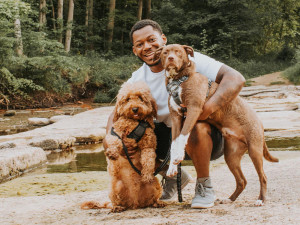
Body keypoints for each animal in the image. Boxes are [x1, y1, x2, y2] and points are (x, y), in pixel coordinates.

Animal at [81, 81, 164, 212]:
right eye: (128, 99)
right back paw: (117, 207)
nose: (135, 109)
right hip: (115, 187)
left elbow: (148, 159)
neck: (134, 123)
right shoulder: (116, 132)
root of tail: (135, 204)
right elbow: (114, 141)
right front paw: (112, 153)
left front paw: (146, 174)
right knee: (116, 202)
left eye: (141, 98)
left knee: (152, 199)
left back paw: (157, 203)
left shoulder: (149, 144)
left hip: (155, 184)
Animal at [154, 44, 280, 206]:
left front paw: (178, 157)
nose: (171, 58)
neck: (178, 80)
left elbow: (183, 136)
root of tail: (259, 121)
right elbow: (174, 142)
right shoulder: (176, 117)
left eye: (178, 52)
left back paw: (260, 199)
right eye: (165, 52)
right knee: (242, 180)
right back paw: (230, 198)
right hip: (231, 156)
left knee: (262, 176)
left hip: (254, 150)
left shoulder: (193, 109)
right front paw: (172, 166)